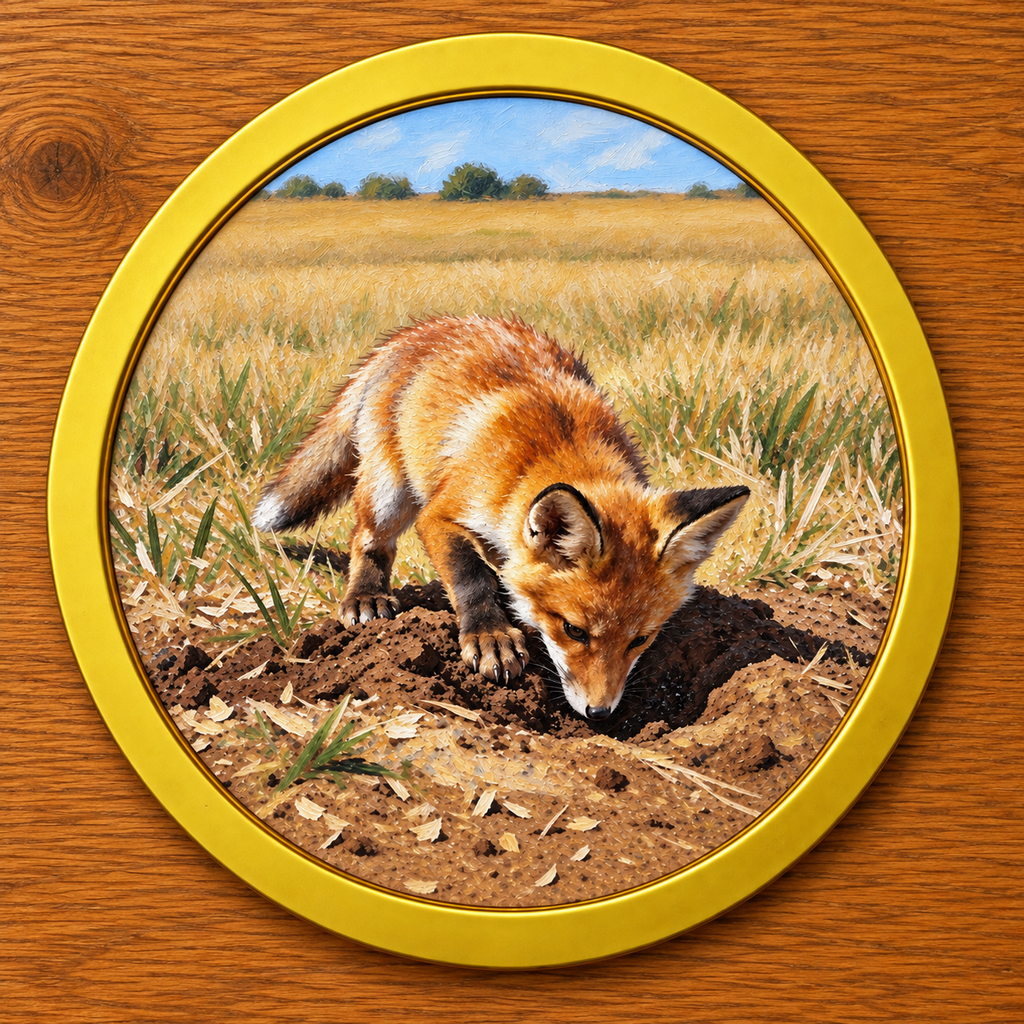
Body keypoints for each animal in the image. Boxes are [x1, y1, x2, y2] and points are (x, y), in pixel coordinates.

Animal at [253, 315, 748, 721]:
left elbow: (502, 573)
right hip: (389, 491)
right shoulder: (440, 514)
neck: (555, 455)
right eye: (573, 630)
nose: (600, 713)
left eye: (639, 640)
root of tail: (425, 327)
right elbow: (470, 575)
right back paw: (366, 597)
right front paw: (490, 634)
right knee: (368, 539)